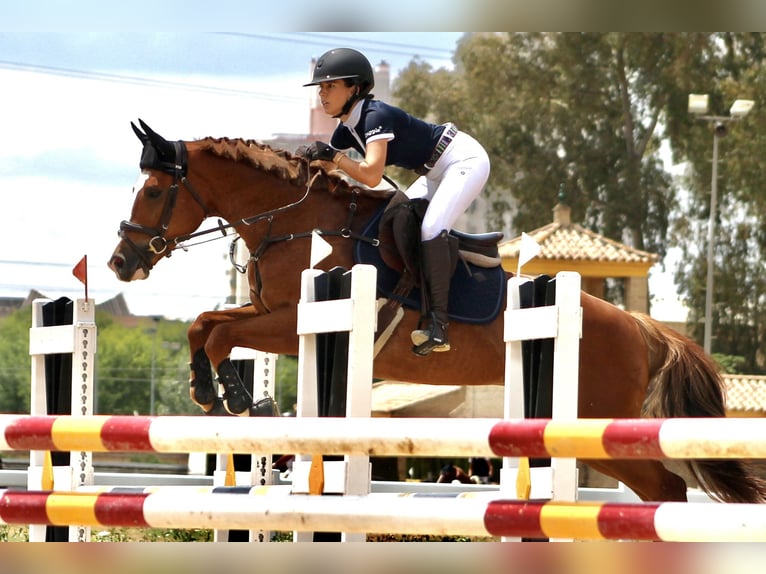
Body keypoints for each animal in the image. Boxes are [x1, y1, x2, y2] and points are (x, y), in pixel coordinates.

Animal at [108, 119, 766, 506]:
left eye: (152, 190)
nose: (120, 262)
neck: (293, 221)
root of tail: (642, 328)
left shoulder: (290, 324)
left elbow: (220, 334)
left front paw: (236, 397)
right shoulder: (268, 312)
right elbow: (207, 323)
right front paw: (213, 389)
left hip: (597, 417)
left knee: (665, 486)